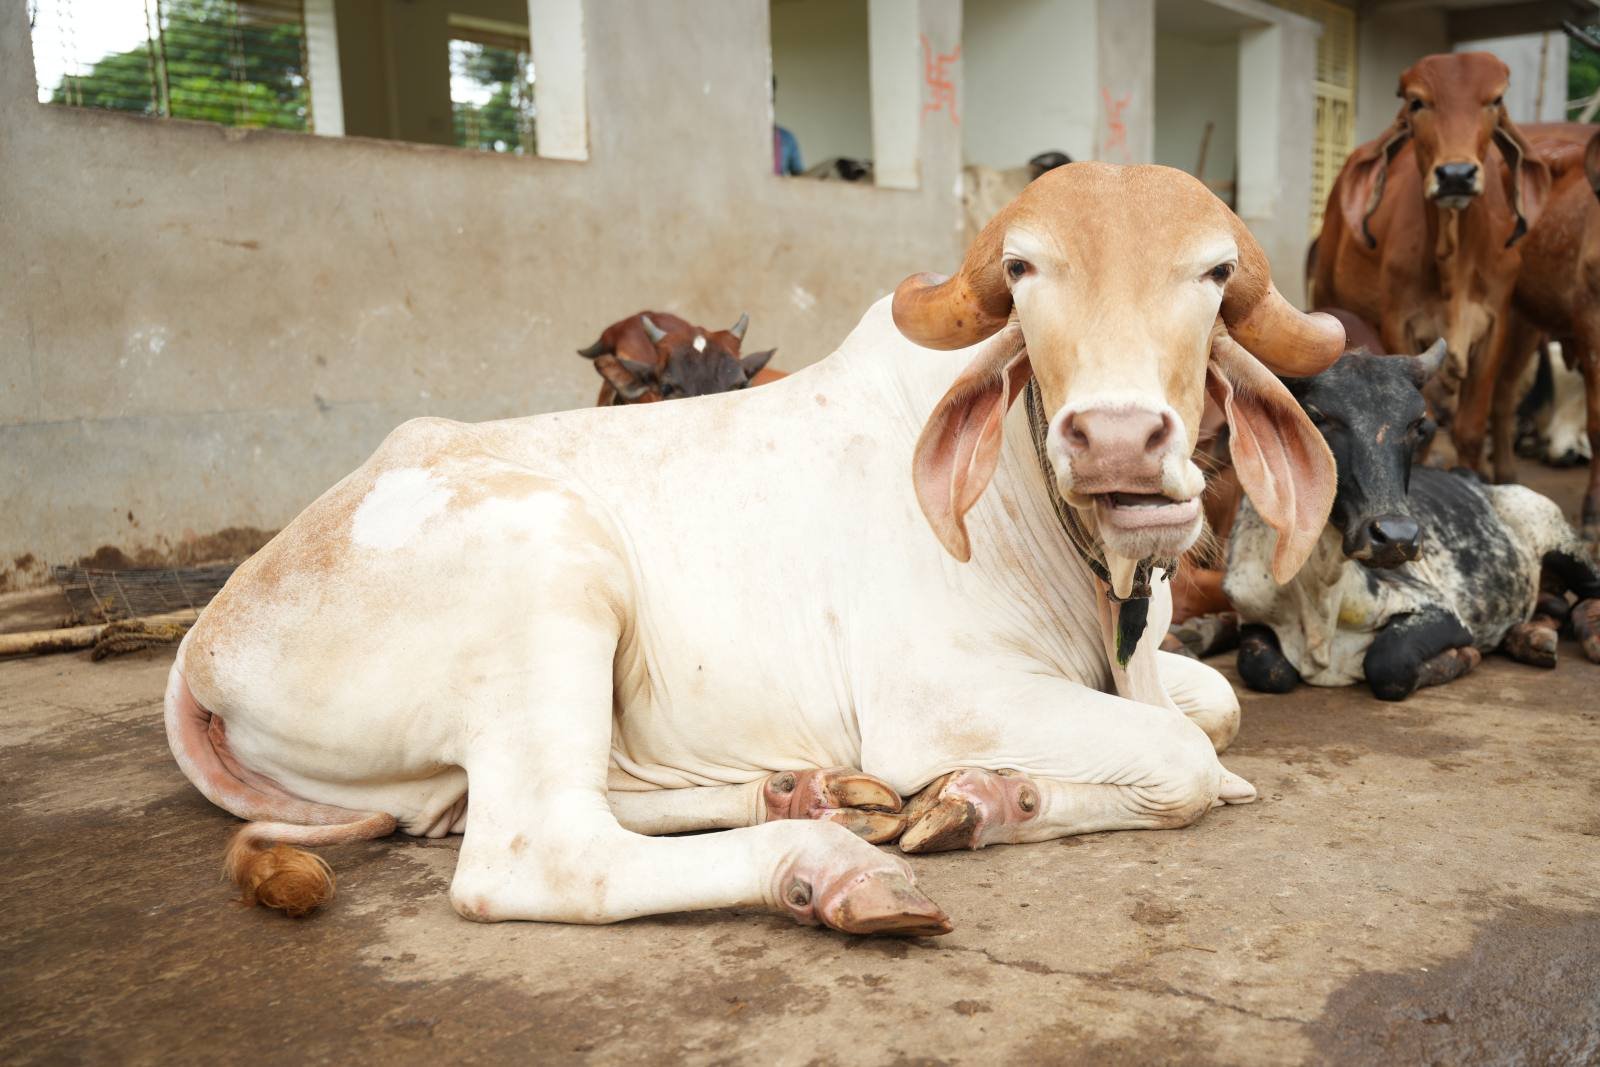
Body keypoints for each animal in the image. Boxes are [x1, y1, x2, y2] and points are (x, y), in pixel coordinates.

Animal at [1227, 341, 1600, 701]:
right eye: (1318, 418)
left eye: (1418, 426)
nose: (1397, 538)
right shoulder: (1249, 615)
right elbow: (1269, 670)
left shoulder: (1439, 608)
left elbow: (1387, 663)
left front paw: (1464, 657)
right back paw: (1532, 639)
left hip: (1565, 545)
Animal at [1313, 52, 1549, 486]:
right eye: (1417, 101)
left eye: (1495, 100)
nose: (1455, 174)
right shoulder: (1399, 323)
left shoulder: (1495, 327)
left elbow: (1470, 429)